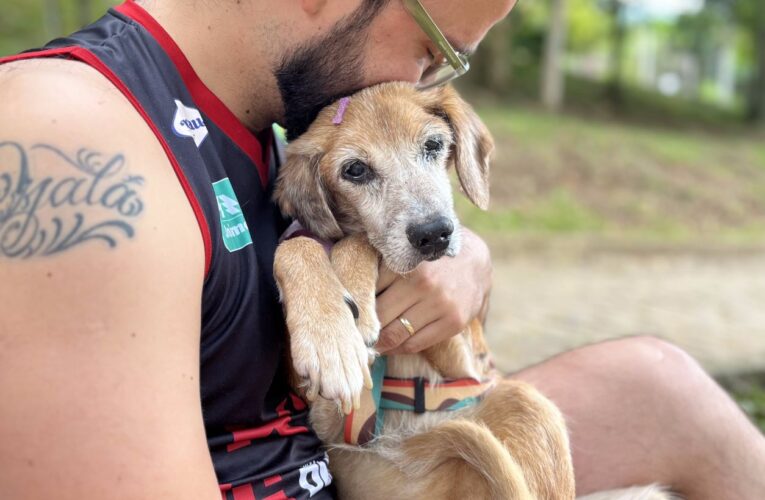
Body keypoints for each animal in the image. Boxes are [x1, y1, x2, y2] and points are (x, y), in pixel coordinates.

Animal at [272, 83, 672, 500]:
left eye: (433, 145)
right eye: (355, 170)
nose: (434, 233)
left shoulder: (461, 351)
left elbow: (359, 241)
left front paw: (349, 302)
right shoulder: (324, 417)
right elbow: (297, 245)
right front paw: (329, 338)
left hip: (526, 404)